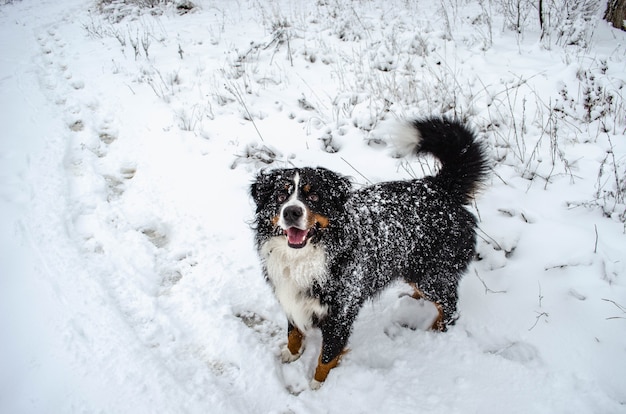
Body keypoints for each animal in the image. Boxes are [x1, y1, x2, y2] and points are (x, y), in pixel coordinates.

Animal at [249, 115, 488, 388]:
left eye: (315, 197)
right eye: (281, 195)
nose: (291, 212)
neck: (306, 257)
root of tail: (437, 187)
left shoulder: (341, 312)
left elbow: (327, 354)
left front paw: (318, 384)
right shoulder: (291, 295)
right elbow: (294, 331)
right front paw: (291, 352)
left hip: (433, 274)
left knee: (449, 306)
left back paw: (435, 332)